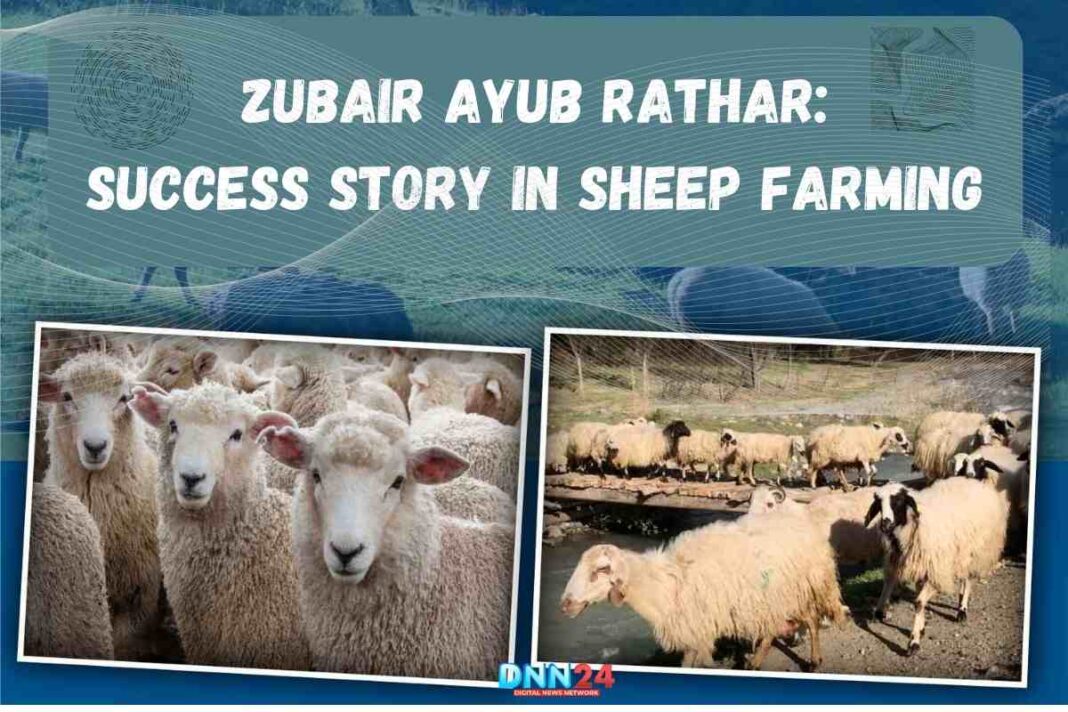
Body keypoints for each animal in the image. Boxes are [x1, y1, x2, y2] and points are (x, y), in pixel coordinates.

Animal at [560, 508, 845, 671]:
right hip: (782, 594)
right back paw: (764, 662)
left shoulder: (697, 631)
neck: (666, 585)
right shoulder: (691, 632)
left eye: (601, 569)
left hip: (797, 588)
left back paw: (809, 661)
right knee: (790, 623)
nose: (565, 604)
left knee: (806, 620)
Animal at [866, 478, 1008, 655]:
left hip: (974, 551)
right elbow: (910, 592)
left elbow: (919, 602)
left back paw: (962, 610)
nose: (885, 525)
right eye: (878, 503)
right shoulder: (912, 565)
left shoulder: (936, 571)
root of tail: (976, 482)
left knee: (967, 579)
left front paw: (914, 641)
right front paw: (920, 628)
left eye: (898, 501)